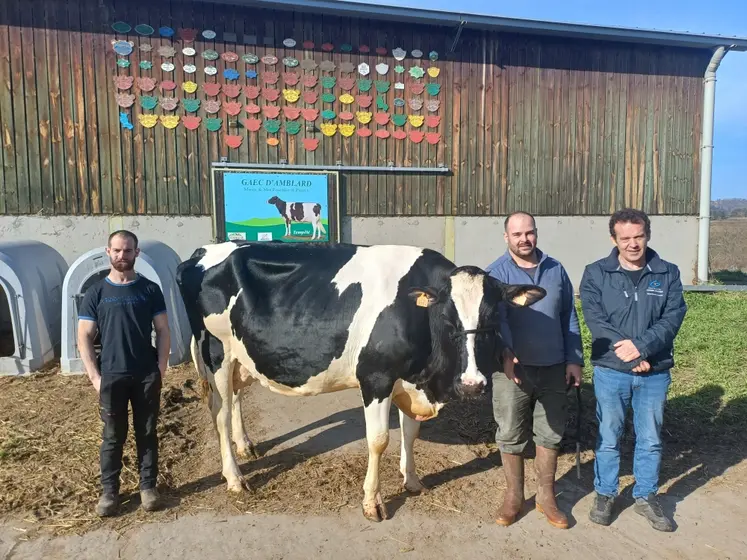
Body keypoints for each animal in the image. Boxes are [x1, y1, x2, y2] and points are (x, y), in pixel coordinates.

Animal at [178, 241, 548, 520]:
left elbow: (411, 432)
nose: (472, 384)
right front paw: (373, 502)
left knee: (235, 400)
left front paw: (412, 480)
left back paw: (245, 445)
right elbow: (379, 440)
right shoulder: (376, 378)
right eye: (447, 317)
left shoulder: (410, 382)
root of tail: (205, 250)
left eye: (493, 316)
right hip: (216, 352)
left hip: (241, 357)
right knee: (221, 413)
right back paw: (235, 477)